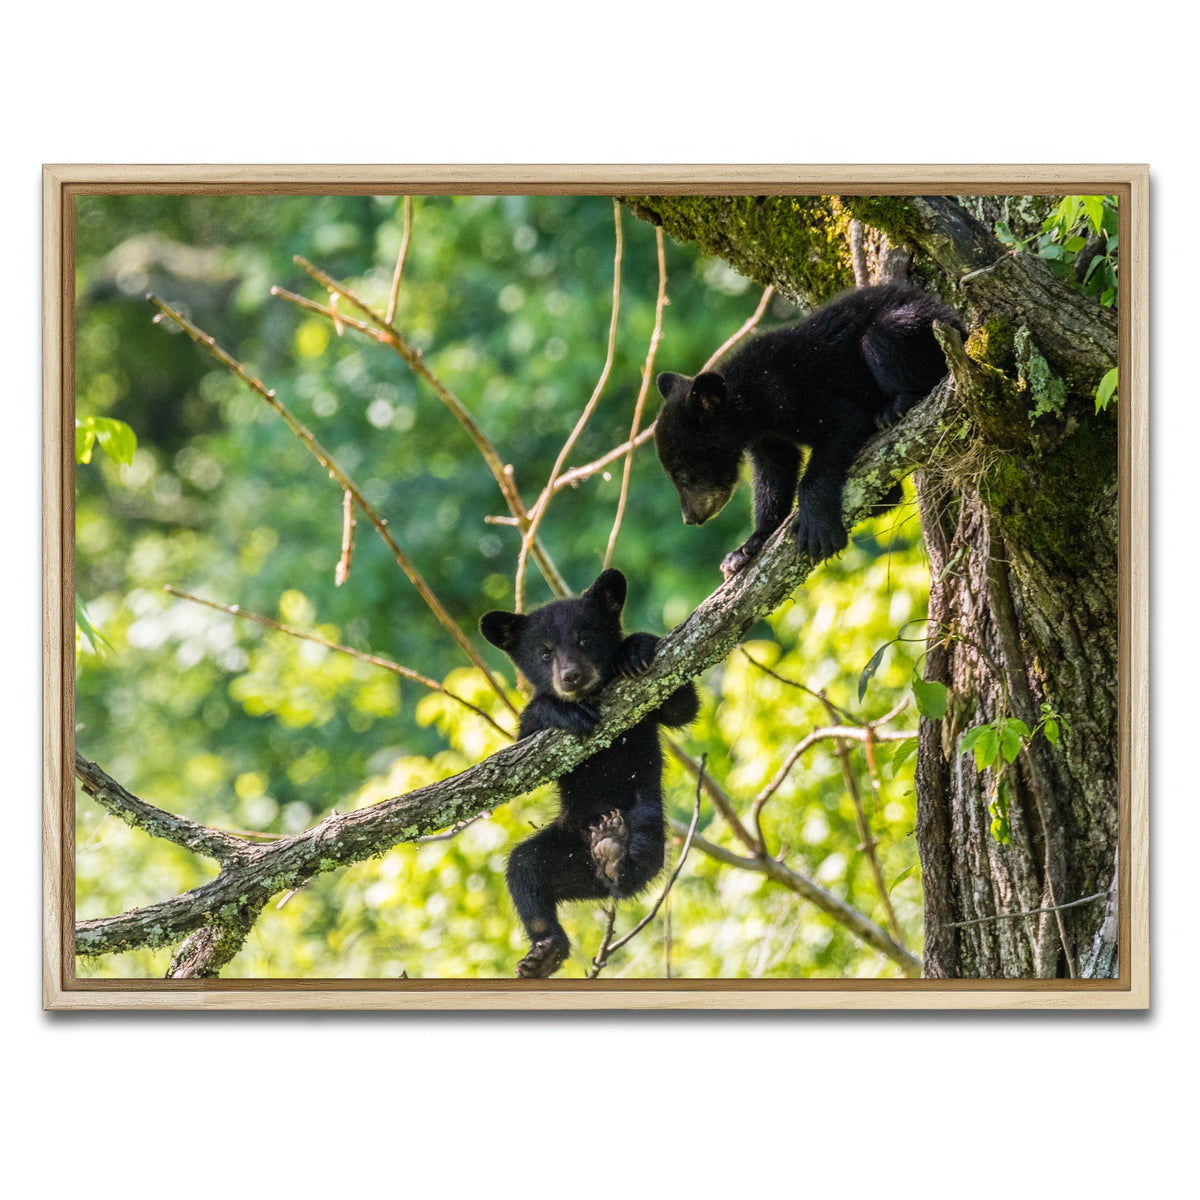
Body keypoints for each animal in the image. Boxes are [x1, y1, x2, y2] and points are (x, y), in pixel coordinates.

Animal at [479, 568, 700, 979]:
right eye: (544, 652)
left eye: (585, 638)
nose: (571, 676)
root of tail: (593, 876)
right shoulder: (529, 744)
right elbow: (524, 745)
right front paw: (562, 710)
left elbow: (681, 706)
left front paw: (633, 649)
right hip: (560, 852)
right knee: (524, 870)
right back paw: (545, 952)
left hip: (645, 817)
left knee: (640, 854)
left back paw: (615, 852)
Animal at [654, 282, 965, 579]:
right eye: (671, 475)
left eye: (685, 473)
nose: (690, 517)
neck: (750, 404)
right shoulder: (767, 437)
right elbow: (774, 474)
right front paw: (746, 548)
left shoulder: (792, 395)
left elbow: (843, 422)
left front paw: (817, 528)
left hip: (919, 327)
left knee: (882, 336)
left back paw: (894, 408)